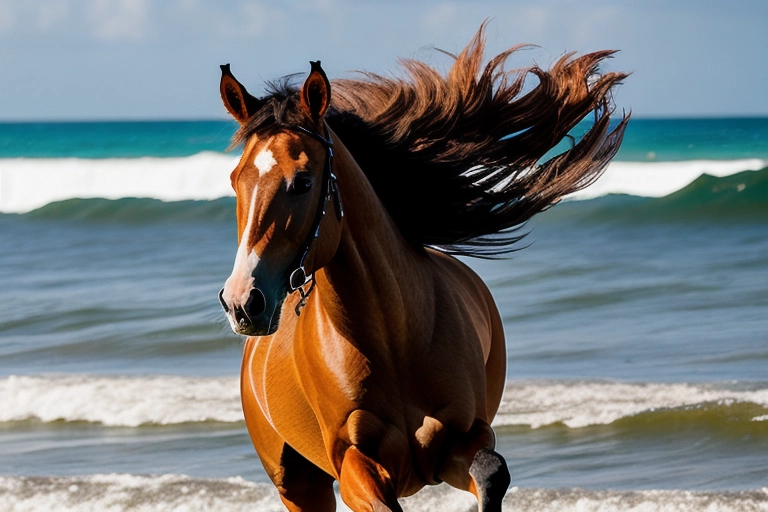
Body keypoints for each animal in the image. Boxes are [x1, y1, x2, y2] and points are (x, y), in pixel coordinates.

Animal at [216, 26, 628, 512]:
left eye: (302, 181)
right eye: (235, 179)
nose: (242, 302)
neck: (393, 340)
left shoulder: (463, 440)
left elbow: (492, 474)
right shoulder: (354, 464)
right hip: (298, 484)